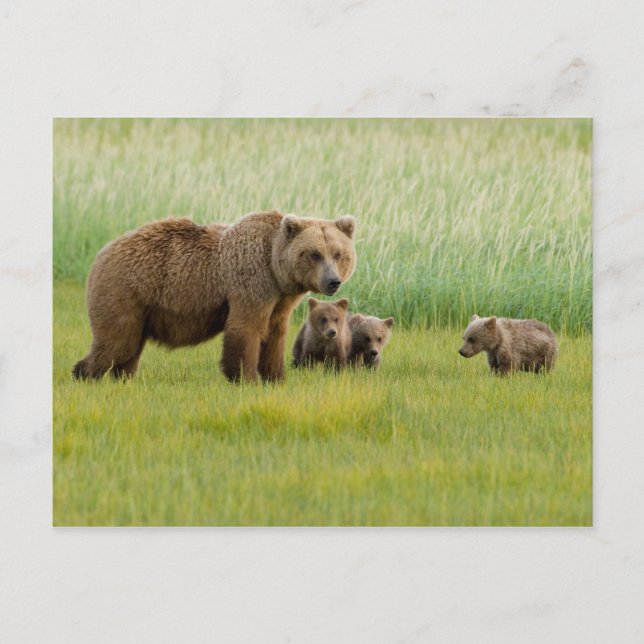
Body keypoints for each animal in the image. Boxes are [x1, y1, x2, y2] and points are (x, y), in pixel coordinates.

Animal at [72, 210, 357, 383]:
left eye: (338, 253)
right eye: (314, 254)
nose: (333, 281)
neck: (275, 270)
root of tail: (102, 252)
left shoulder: (280, 300)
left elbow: (274, 335)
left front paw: (275, 377)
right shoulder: (251, 282)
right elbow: (246, 329)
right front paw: (245, 378)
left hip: (142, 309)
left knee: (129, 348)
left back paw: (122, 378)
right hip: (125, 291)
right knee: (117, 341)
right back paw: (84, 373)